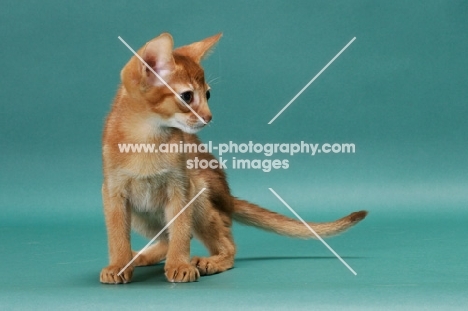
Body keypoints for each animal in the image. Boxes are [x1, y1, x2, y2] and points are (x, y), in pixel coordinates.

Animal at [100, 33, 368, 284]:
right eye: (187, 97)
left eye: (208, 94)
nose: (209, 117)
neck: (146, 138)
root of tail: (228, 198)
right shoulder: (113, 192)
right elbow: (117, 235)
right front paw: (118, 266)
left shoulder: (182, 187)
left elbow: (181, 231)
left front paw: (180, 265)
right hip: (138, 212)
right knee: (166, 237)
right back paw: (139, 256)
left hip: (201, 191)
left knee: (223, 245)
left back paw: (210, 262)